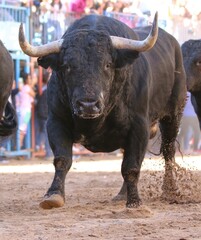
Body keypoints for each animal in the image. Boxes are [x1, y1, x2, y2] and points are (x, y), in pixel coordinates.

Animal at [18, 13, 187, 208]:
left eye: (107, 65)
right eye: (67, 66)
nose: (88, 105)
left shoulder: (139, 127)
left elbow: (131, 166)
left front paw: (135, 201)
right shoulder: (56, 122)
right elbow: (62, 159)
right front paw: (53, 195)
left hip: (173, 115)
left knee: (168, 151)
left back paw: (170, 189)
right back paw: (122, 194)